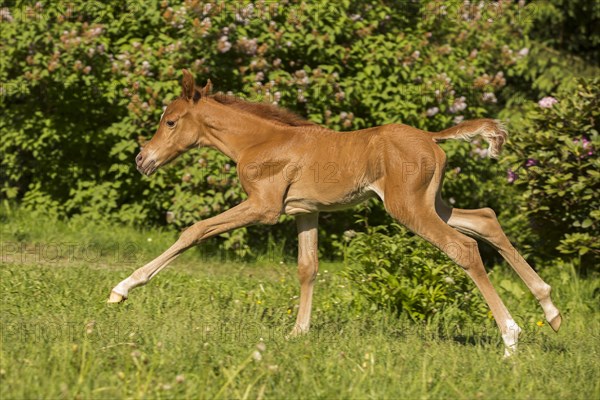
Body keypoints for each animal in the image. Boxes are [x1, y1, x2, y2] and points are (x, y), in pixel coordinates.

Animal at [109, 69, 564, 356]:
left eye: (170, 122)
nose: (142, 160)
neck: (258, 142)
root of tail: (431, 137)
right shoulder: (304, 211)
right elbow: (307, 267)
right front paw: (298, 332)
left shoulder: (264, 207)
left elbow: (195, 230)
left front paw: (123, 288)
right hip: (432, 203)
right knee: (486, 219)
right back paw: (551, 310)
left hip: (408, 208)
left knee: (464, 248)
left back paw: (510, 339)